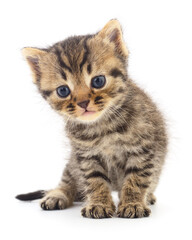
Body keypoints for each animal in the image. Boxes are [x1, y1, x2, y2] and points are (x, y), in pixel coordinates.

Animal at [15, 19, 167, 218]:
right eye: (63, 91)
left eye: (98, 81)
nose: (83, 102)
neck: (103, 126)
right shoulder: (86, 156)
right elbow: (94, 180)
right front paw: (99, 203)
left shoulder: (142, 150)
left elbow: (137, 178)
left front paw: (133, 203)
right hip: (72, 164)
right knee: (68, 181)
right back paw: (57, 194)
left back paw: (147, 196)